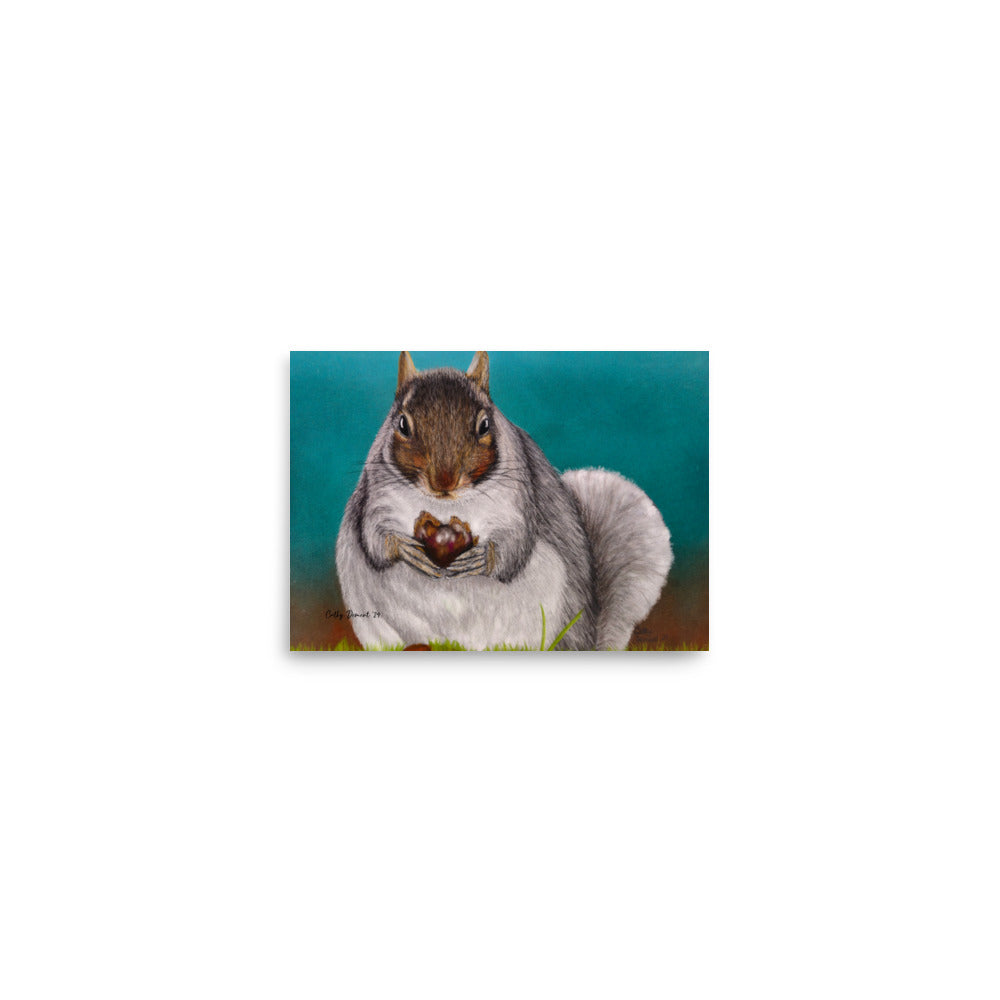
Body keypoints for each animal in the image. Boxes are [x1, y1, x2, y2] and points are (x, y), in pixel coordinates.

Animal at [335, 352, 673, 650]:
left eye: (484, 425)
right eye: (402, 424)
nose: (444, 481)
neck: (446, 505)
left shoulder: (519, 500)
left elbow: (516, 545)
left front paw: (483, 558)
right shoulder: (377, 497)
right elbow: (374, 538)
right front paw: (405, 548)